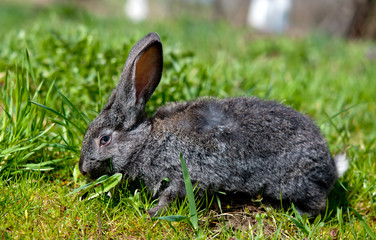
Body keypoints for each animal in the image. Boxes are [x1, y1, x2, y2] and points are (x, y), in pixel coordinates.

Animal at [79, 31, 350, 218]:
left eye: (105, 139)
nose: (82, 169)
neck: (146, 141)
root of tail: (331, 167)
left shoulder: (183, 173)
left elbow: (171, 195)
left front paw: (154, 213)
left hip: (294, 183)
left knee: (317, 204)